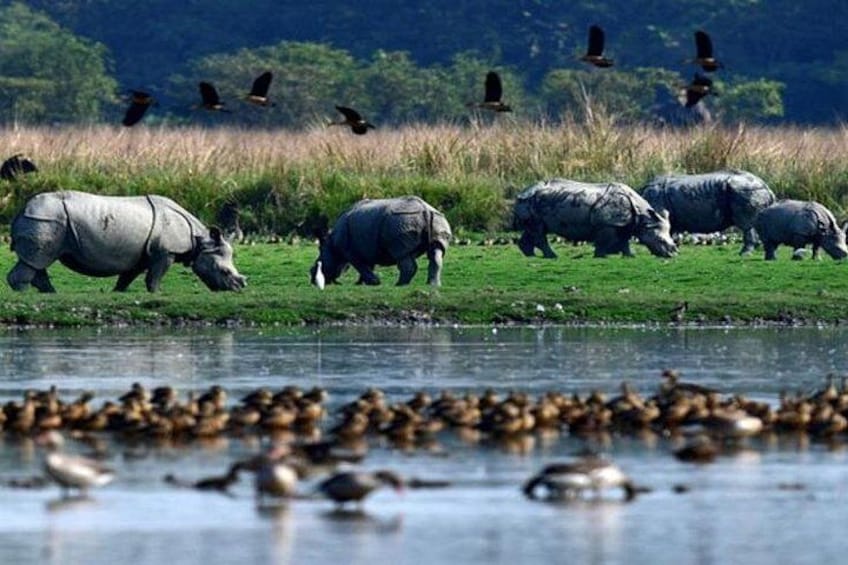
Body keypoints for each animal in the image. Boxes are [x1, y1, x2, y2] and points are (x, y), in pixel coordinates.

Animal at [7, 190, 247, 292]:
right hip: (45, 220)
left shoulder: (142, 254)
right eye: (224, 272)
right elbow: (155, 276)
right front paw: (156, 294)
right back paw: (25, 295)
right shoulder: (166, 251)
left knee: (36, 261)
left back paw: (50, 294)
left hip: (46, 221)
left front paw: (118, 293)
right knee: (37, 259)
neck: (199, 241)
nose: (239, 288)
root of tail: (21, 210)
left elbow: (128, 276)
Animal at [310, 196, 452, 286]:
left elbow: (361, 266)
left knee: (402, 255)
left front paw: (374, 283)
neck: (332, 244)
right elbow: (367, 266)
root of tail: (425, 210)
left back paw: (399, 285)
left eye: (316, 266)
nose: (312, 279)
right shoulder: (365, 248)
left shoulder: (351, 252)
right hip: (438, 219)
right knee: (436, 250)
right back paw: (433, 285)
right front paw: (360, 283)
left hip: (400, 222)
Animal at [514, 179, 677, 259]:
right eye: (660, 241)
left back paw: (530, 255)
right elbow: (604, 241)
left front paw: (630, 256)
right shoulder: (607, 222)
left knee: (533, 229)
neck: (643, 217)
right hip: (530, 201)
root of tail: (521, 192)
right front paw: (600, 256)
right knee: (539, 231)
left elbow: (624, 240)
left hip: (532, 203)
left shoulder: (624, 224)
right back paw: (552, 257)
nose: (672, 255)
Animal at [640, 170, 776, 255]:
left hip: (745, 190)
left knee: (746, 224)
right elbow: (670, 232)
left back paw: (744, 254)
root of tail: (767, 187)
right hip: (751, 190)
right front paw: (673, 249)